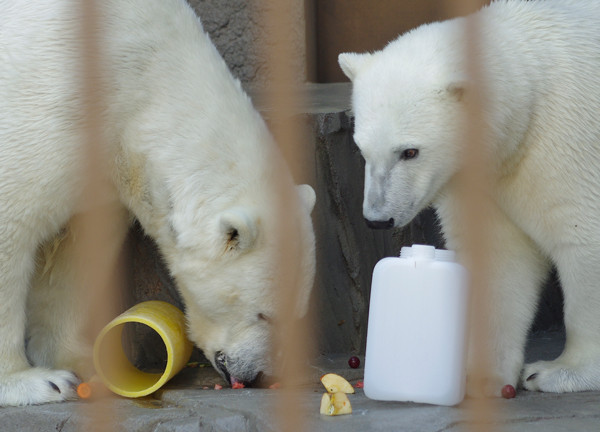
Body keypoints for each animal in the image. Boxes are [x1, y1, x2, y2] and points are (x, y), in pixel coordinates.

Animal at [0, 0, 316, 406]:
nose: (259, 375)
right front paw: (36, 382)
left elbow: (77, 251)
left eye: (297, 315)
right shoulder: (41, 103)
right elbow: (12, 221)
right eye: (265, 315)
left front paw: (84, 365)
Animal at [340, 0, 600, 396]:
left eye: (410, 151)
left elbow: (581, 235)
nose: (377, 219)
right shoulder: (485, 176)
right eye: (362, 149)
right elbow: (497, 258)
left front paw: (557, 372)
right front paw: (483, 377)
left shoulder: (569, 141)